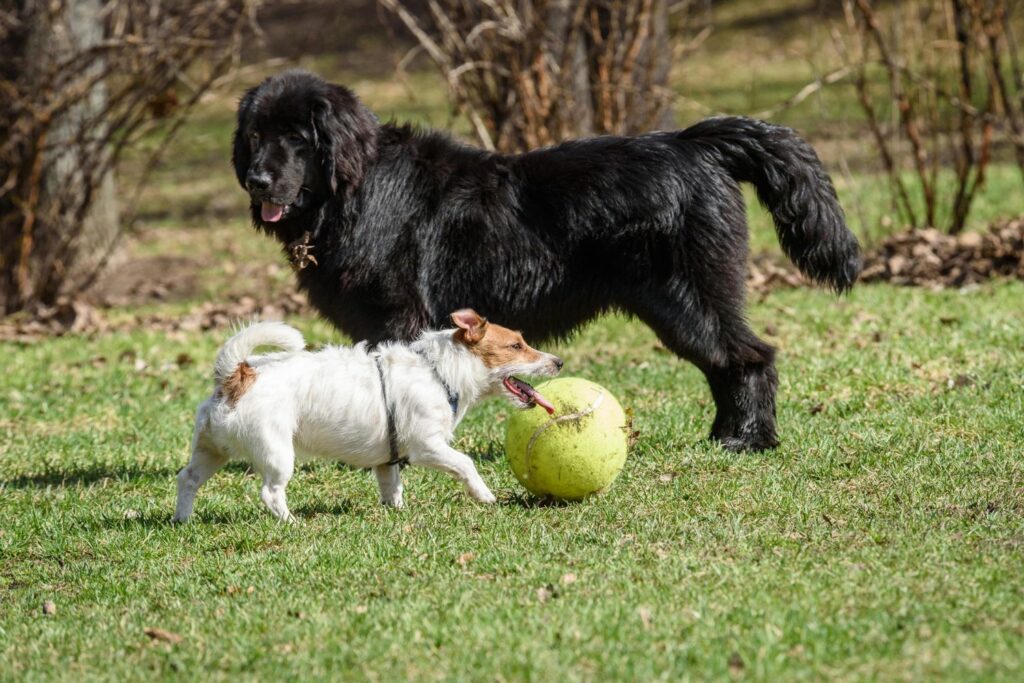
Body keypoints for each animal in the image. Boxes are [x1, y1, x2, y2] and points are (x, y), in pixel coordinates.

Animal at [174, 309, 561, 524]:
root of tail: (237, 375)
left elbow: (392, 487)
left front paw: (397, 512)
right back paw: (290, 521)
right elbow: (465, 462)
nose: (559, 362)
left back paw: (182, 519)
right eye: (516, 346)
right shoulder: (428, 446)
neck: (439, 370)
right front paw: (485, 496)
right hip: (277, 453)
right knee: (270, 492)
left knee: (187, 478)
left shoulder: (388, 461)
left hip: (211, 450)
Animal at [230, 70, 856, 454]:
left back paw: (747, 440)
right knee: (726, 364)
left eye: (299, 138)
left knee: (749, 359)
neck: (352, 191)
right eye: (256, 136)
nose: (257, 179)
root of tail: (693, 142)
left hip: (688, 297)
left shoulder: (397, 316)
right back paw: (725, 436)